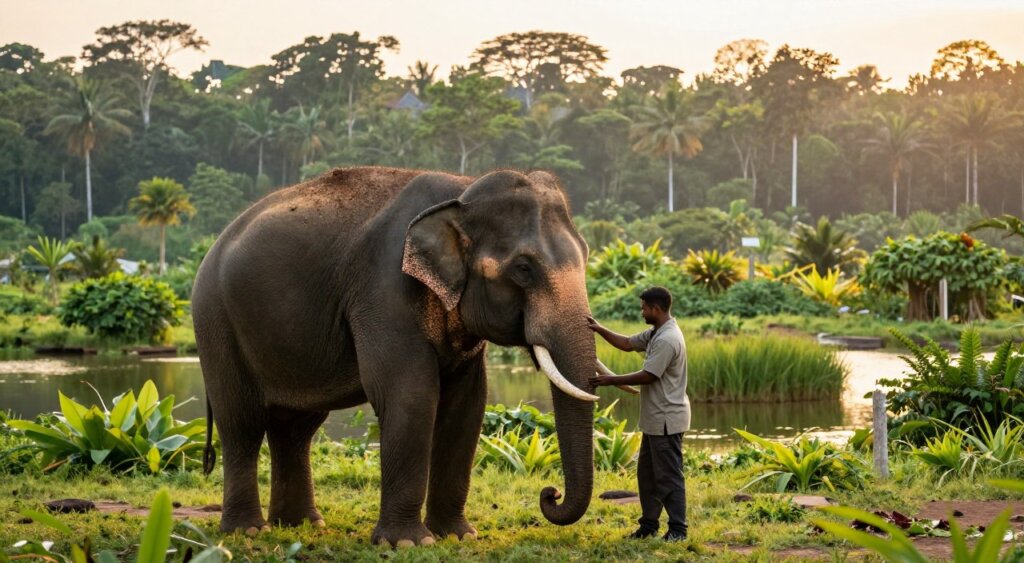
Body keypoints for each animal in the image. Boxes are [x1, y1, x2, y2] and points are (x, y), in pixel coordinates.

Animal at [192, 166, 604, 547]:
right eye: (523, 268)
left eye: (587, 255)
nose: (550, 494)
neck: (462, 189)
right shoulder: (384, 290)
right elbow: (411, 394)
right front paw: (408, 542)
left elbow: (467, 403)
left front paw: (458, 536)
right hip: (215, 323)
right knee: (242, 423)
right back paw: (248, 530)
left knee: (294, 428)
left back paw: (302, 525)